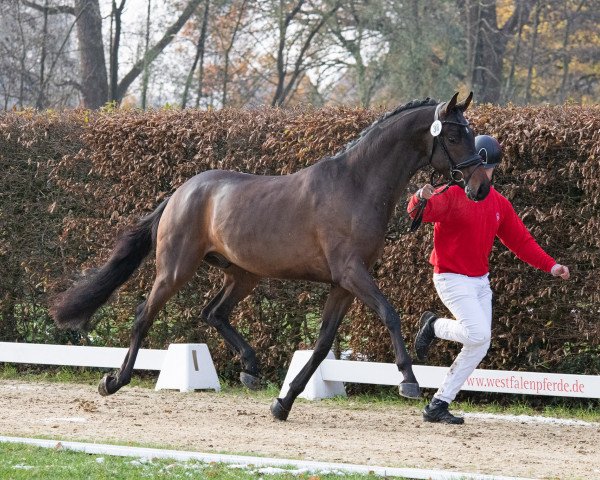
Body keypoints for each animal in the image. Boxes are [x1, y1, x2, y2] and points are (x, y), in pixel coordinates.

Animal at [51, 91, 490, 420]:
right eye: (454, 137)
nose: (480, 187)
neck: (356, 184)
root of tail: (181, 192)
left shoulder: (344, 284)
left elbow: (322, 343)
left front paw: (284, 402)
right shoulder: (352, 273)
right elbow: (389, 314)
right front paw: (408, 381)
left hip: (244, 274)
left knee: (213, 313)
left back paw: (250, 368)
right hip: (176, 268)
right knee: (146, 315)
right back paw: (113, 381)